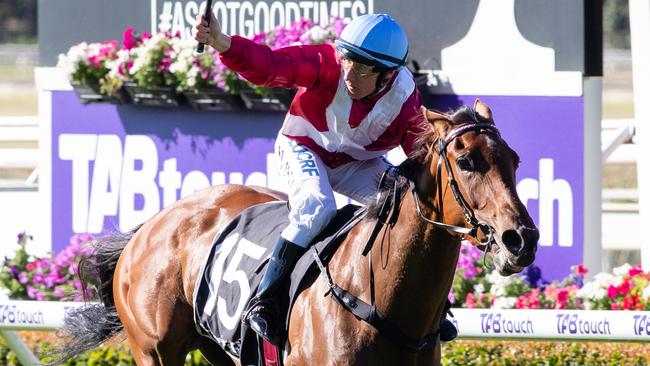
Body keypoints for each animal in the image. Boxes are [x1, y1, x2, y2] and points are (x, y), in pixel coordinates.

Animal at [54, 98, 536, 364]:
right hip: (154, 349)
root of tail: (152, 223)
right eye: (466, 161)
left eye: (514, 159)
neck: (380, 299)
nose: (521, 240)